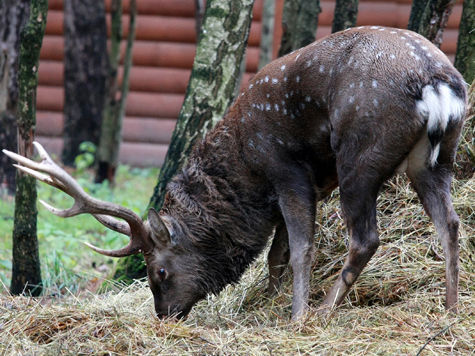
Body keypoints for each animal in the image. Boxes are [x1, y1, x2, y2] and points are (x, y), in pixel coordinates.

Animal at [1, 25, 466, 320]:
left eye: (159, 272)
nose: (164, 315)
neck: (246, 175)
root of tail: (438, 83)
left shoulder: (288, 171)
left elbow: (300, 249)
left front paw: (293, 315)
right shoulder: (298, 189)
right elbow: (277, 256)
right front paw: (267, 302)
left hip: (359, 157)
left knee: (366, 237)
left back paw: (321, 312)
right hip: (435, 159)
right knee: (450, 222)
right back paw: (450, 308)